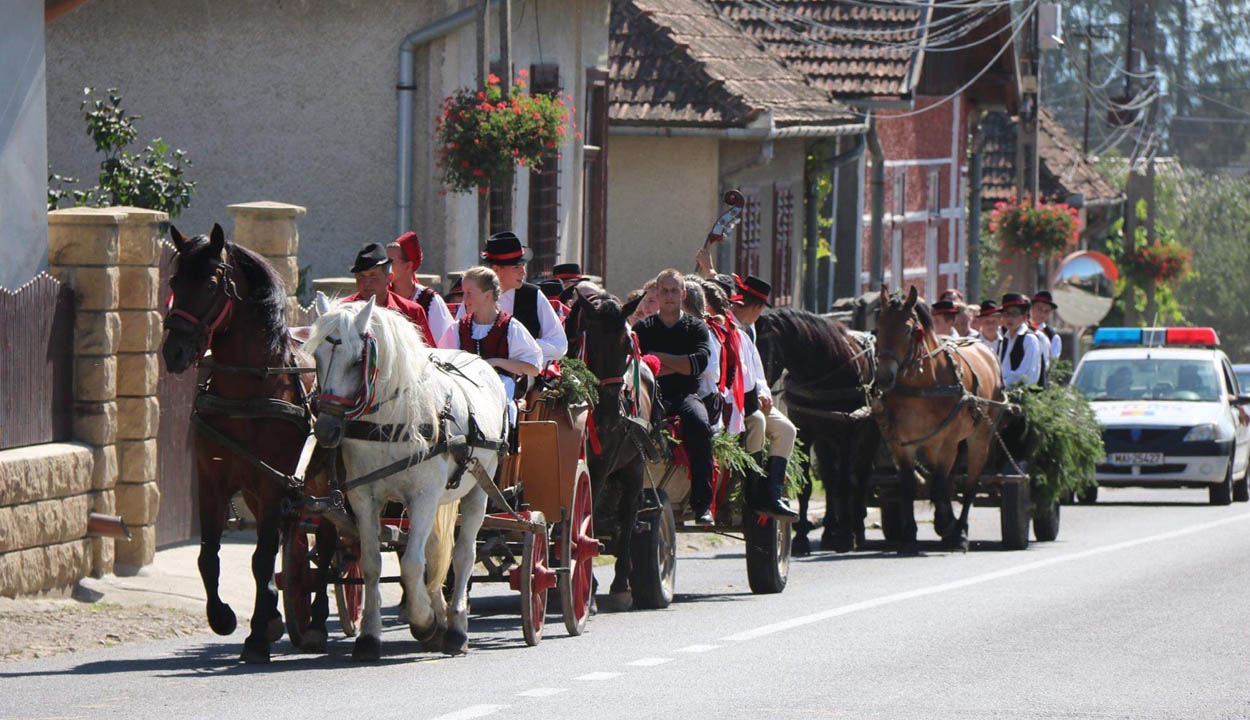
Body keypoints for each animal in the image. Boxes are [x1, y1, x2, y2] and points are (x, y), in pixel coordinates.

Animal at [161, 226, 337, 665]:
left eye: (209, 285)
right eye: (174, 283)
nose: (173, 351)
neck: (247, 390)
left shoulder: (273, 483)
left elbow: (260, 559)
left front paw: (257, 636)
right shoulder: (212, 481)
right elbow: (209, 556)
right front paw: (224, 617)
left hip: (326, 485)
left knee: (329, 544)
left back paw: (316, 622)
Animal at [305, 292, 505, 660]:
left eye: (358, 361)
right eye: (316, 356)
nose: (325, 429)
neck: (391, 420)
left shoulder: (423, 495)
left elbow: (412, 564)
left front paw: (423, 621)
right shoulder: (364, 498)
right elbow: (373, 563)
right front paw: (370, 637)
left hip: (478, 491)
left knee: (463, 554)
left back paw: (455, 628)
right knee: (436, 551)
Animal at [875, 283, 1010, 547]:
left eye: (908, 330)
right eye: (877, 327)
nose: (884, 377)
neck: (924, 384)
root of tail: (985, 349)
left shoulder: (948, 441)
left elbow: (940, 484)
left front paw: (945, 525)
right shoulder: (901, 443)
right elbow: (910, 485)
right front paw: (909, 535)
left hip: (979, 437)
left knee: (970, 484)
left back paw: (960, 531)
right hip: (931, 444)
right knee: (947, 479)